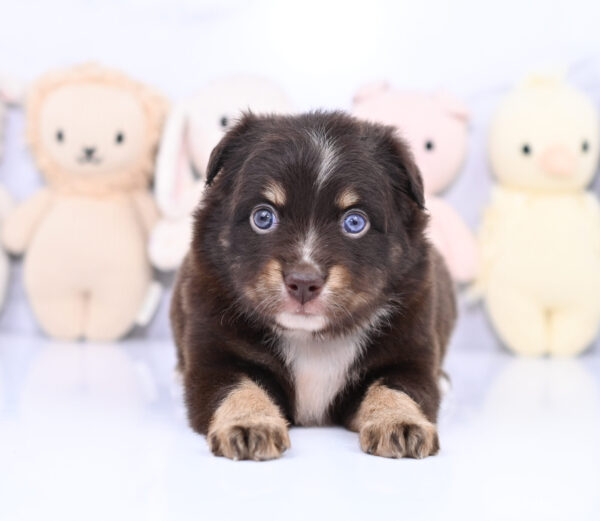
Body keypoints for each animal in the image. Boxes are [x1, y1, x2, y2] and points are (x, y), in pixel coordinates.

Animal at [171, 110, 458, 460]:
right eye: (263, 217)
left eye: (355, 222)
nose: (303, 282)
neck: (311, 339)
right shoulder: (216, 358)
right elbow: (237, 388)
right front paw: (249, 424)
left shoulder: (407, 356)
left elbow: (395, 389)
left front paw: (401, 422)